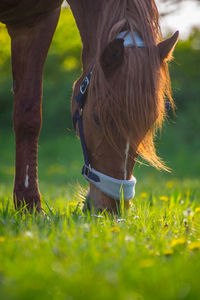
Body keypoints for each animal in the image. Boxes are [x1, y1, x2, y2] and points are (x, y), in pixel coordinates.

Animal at [0, 1, 179, 213]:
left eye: (150, 123)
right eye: (96, 118)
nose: (112, 209)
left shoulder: (34, 22)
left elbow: (28, 116)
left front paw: (29, 206)